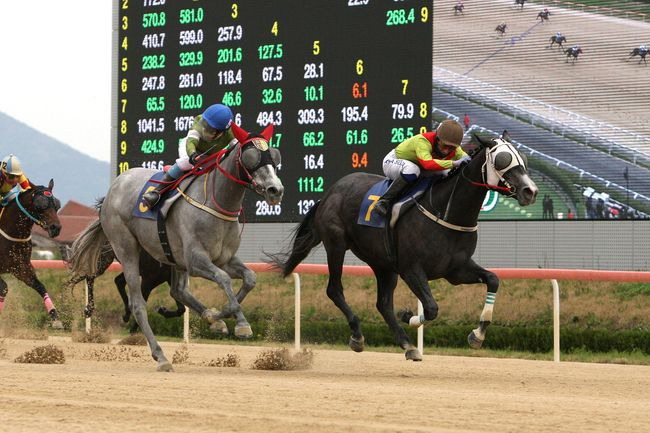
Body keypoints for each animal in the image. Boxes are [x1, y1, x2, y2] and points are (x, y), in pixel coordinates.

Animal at [0, 179, 63, 328]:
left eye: (57, 205)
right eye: (40, 205)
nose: (56, 228)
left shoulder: (21, 268)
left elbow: (40, 286)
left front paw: (55, 318)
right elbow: (4, 288)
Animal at [69, 123, 282, 370]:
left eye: (274, 155)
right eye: (250, 156)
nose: (275, 190)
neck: (215, 201)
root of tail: (115, 187)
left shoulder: (224, 259)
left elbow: (249, 278)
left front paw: (216, 317)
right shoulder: (195, 260)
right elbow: (224, 279)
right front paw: (241, 323)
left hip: (172, 258)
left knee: (178, 290)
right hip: (126, 247)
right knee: (137, 303)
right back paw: (160, 356)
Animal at [268, 132, 536, 362]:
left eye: (523, 159)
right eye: (502, 160)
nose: (530, 191)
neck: (446, 211)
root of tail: (330, 192)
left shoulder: (456, 270)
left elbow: (493, 280)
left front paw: (477, 335)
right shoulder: (411, 269)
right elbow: (431, 308)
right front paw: (408, 315)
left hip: (382, 263)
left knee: (383, 303)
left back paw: (408, 345)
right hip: (337, 245)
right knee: (335, 289)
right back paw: (358, 335)